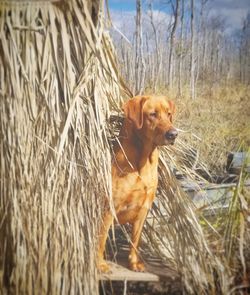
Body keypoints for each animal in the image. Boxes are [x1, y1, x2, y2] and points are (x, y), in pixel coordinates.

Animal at [96, 96, 177, 272]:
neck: (143, 161)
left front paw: (133, 262)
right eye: (152, 114)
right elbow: (101, 239)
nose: (173, 134)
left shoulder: (143, 210)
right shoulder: (109, 208)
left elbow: (135, 241)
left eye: (168, 114)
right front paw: (99, 263)